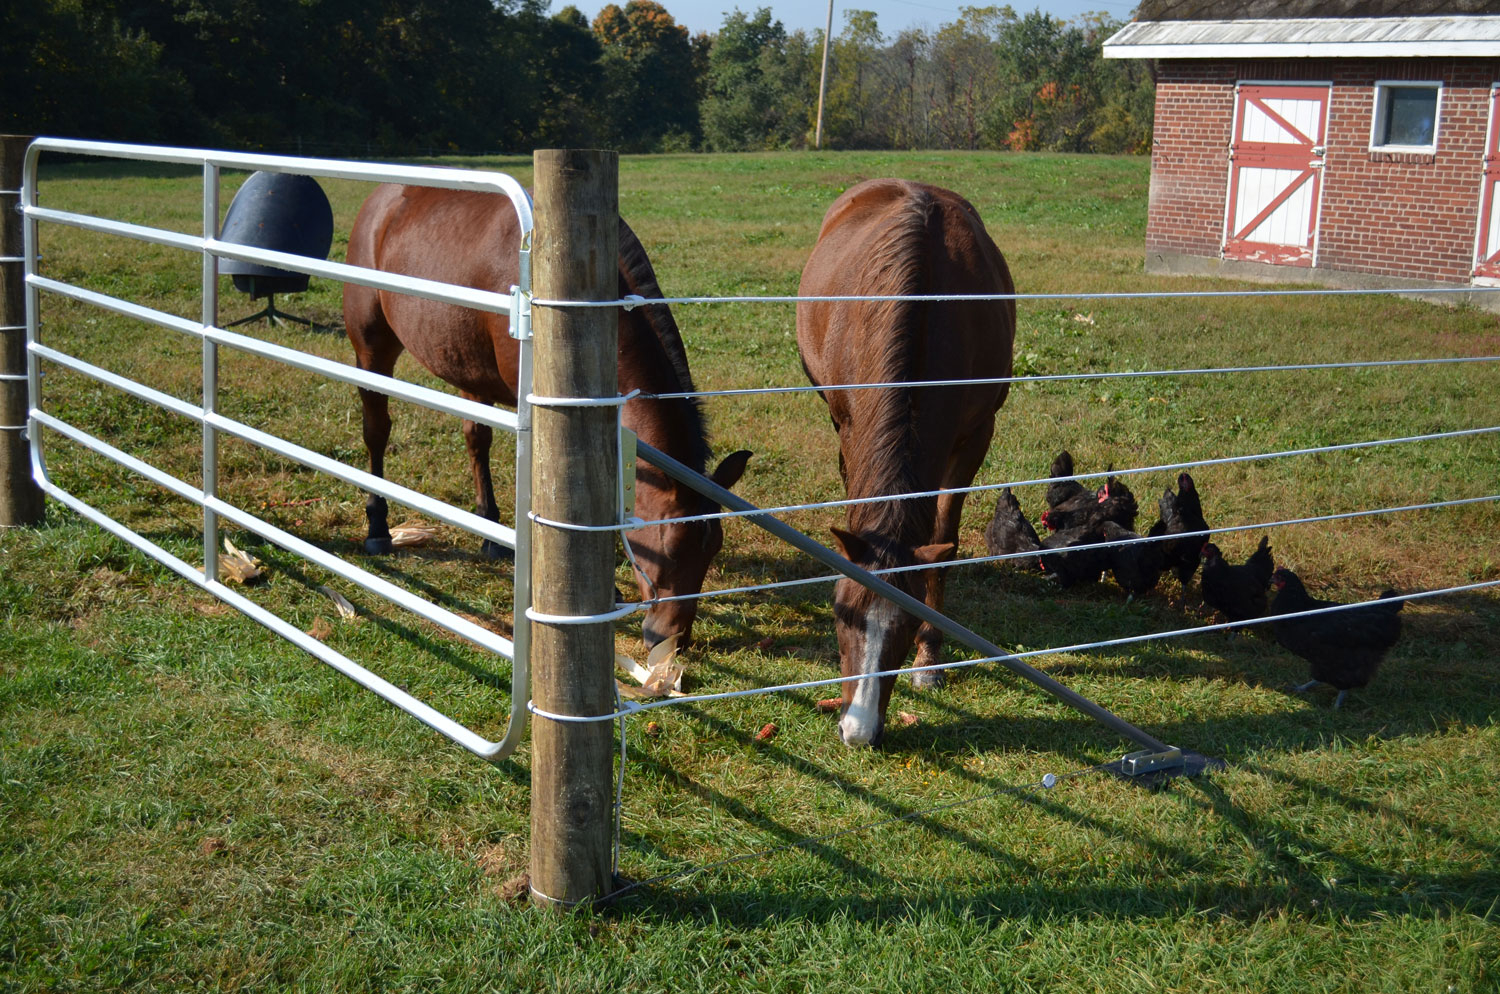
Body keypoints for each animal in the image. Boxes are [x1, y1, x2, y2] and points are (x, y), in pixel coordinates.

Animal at [346, 184, 756, 653]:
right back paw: (378, 526)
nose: (672, 639)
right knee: (377, 431)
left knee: (475, 439)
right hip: (372, 349)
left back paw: (490, 532)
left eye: (712, 551)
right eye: (668, 548)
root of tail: (382, 199)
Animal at [798, 176, 1020, 746]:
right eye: (843, 615)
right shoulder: (850, 424)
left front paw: (929, 661)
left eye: (903, 625)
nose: (858, 730)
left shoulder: (976, 437)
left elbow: (944, 538)